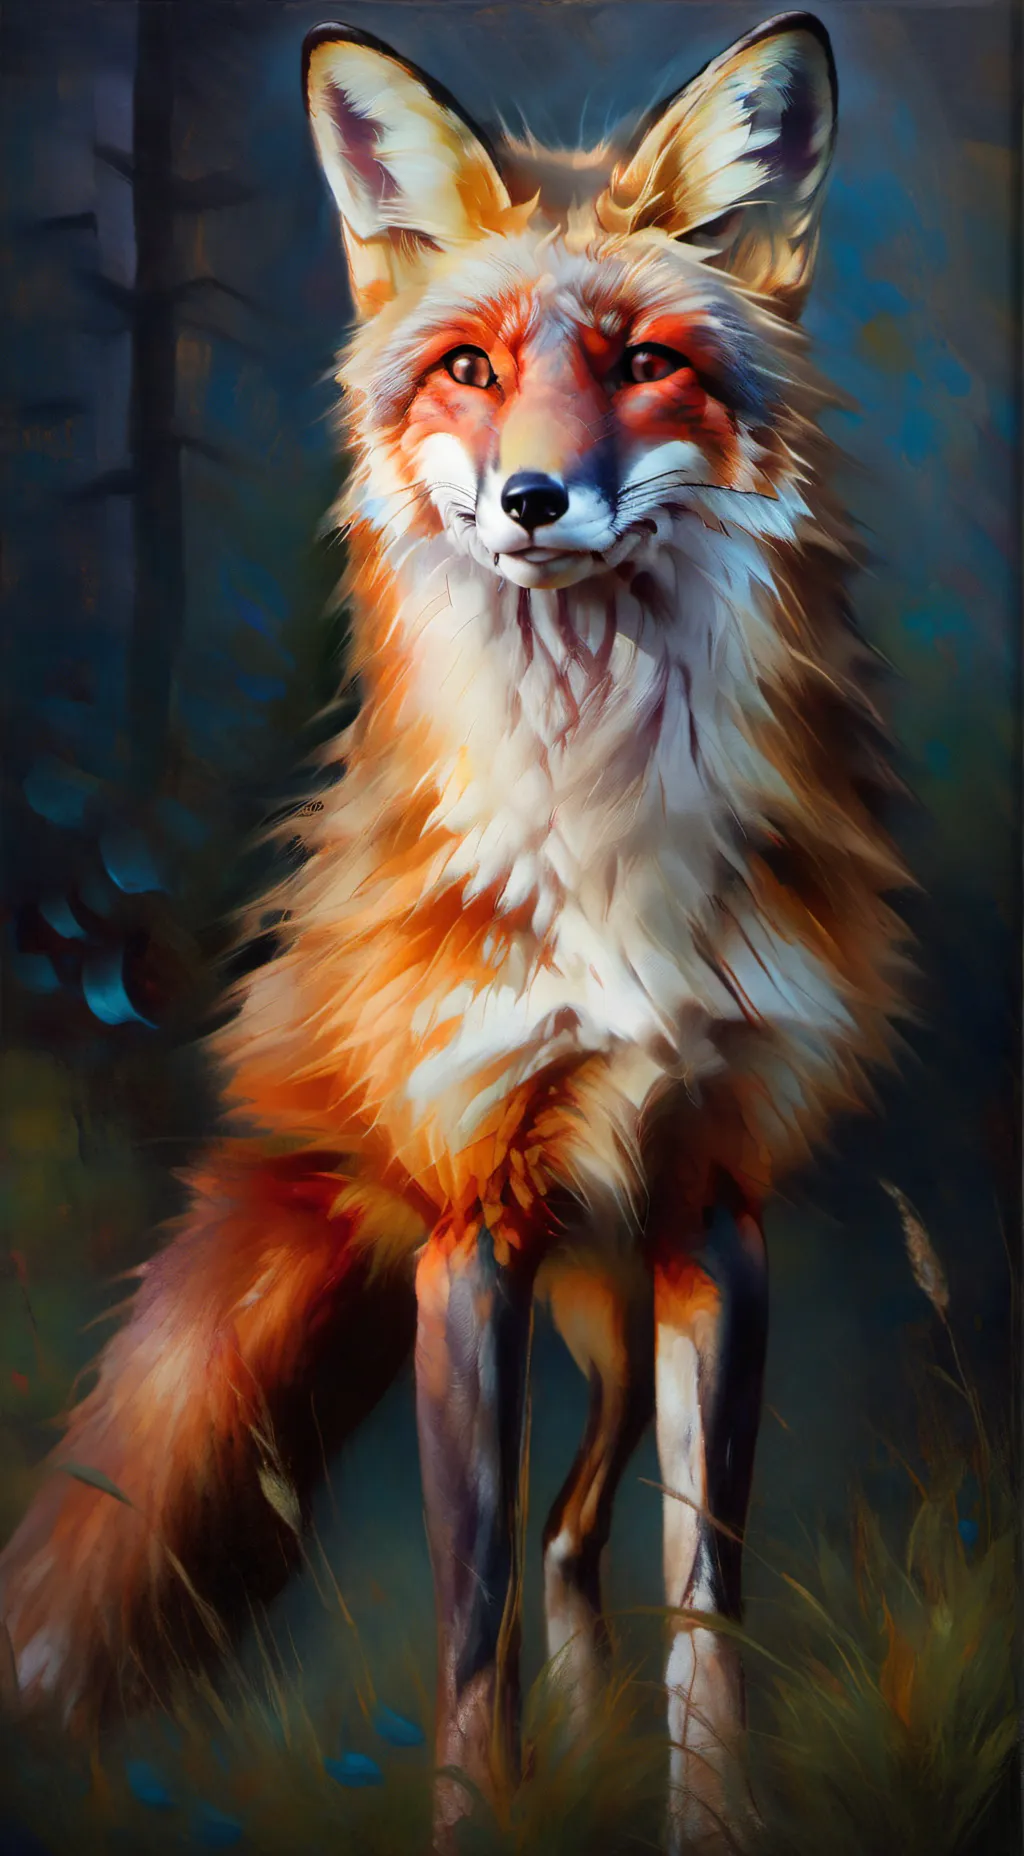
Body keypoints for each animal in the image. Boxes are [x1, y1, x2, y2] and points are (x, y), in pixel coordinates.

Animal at [0, 12, 906, 1851]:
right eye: (472, 368)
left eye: (644, 362)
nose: (533, 499)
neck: (601, 837)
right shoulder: (469, 1229)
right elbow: (465, 1626)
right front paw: (481, 1819)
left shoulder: (718, 1215)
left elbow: (705, 1607)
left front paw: (713, 1824)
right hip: (523, 1269)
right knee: (543, 1547)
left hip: (618, 1310)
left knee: (576, 1538)